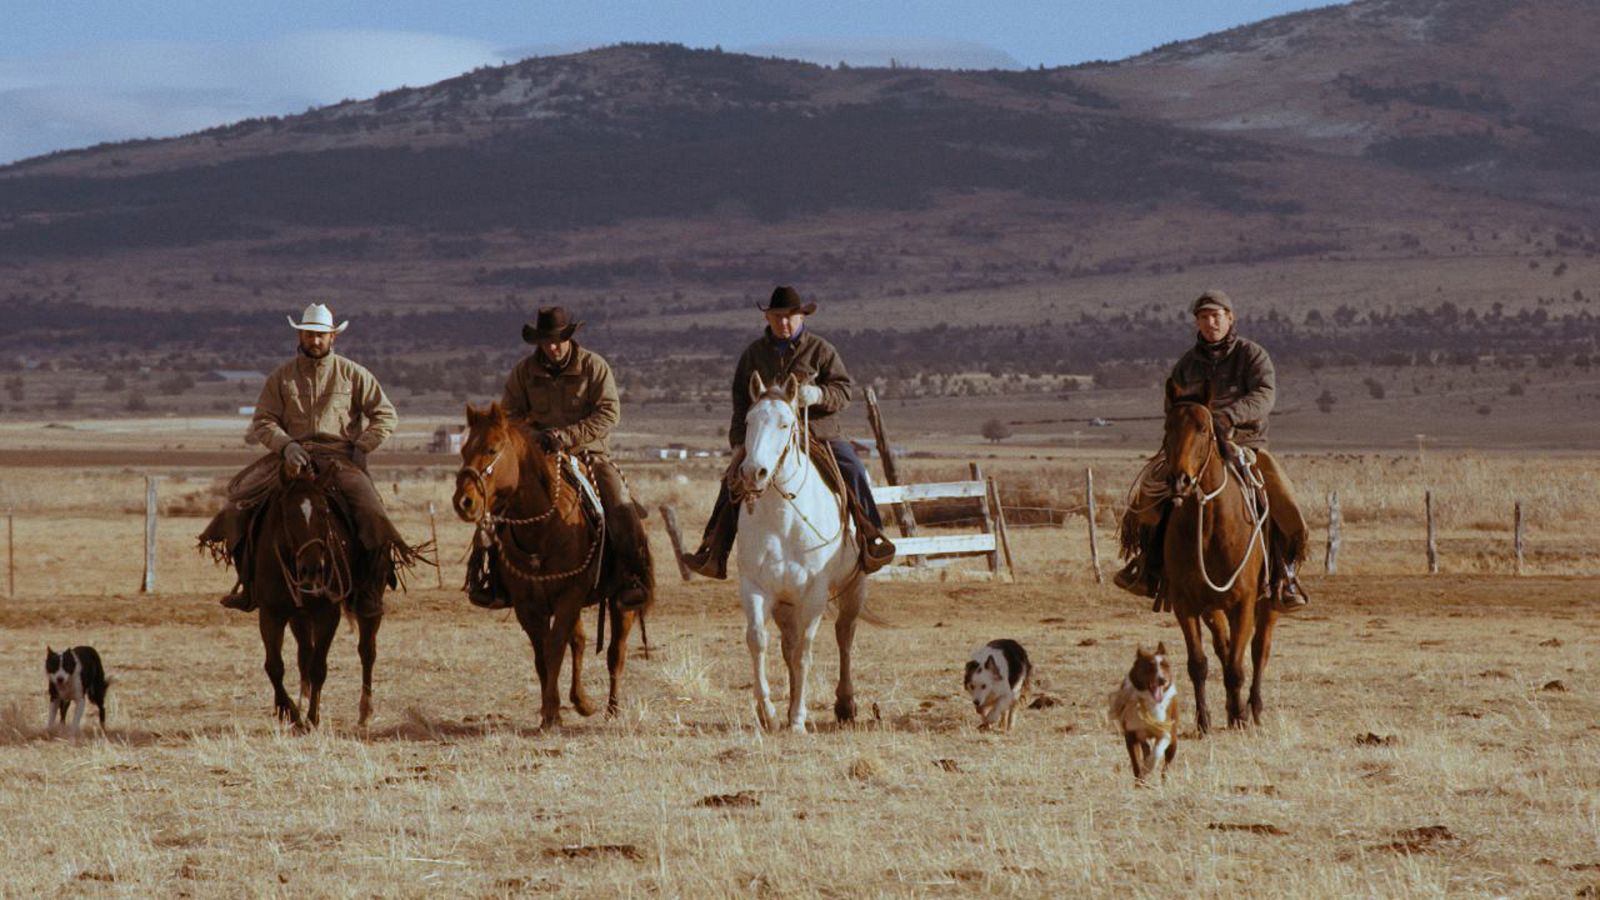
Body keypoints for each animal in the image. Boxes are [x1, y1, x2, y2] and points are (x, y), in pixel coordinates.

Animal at [254, 458, 382, 723]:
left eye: (324, 512)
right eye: (288, 513)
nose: (312, 568)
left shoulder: (327, 613)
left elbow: (318, 667)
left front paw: (311, 718)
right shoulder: (271, 613)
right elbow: (274, 666)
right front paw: (289, 711)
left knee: (367, 651)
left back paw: (365, 711)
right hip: (299, 617)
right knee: (304, 652)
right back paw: (302, 700)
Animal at [451, 403, 643, 723]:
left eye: (492, 449)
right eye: (464, 450)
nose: (463, 502)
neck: (542, 528)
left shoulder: (568, 597)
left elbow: (554, 648)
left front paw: (552, 713)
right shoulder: (528, 605)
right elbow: (543, 654)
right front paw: (550, 711)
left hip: (620, 603)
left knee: (617, 651)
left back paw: (612, 708)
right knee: (578, 642)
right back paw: (582, 701)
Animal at [732, 371, 870, 730]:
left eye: (785, 424)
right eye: (749, 421)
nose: (753, 473)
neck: (783, 519)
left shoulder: (814, 593)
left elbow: (805, 652)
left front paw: (797, 719)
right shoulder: (755, 587)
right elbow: (758, 641)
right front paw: (768, 712)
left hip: (854, 587)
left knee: (844, 636)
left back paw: (845, 704)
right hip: (785, 603)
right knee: (787, 645)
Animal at [1107, 637, 1184, 778]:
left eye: (1166, 666)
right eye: (1150, 666)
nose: (1162, 680)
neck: (1148, 702)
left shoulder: (1164, 732)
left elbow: (1156, 753)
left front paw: (1149, 766)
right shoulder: (1131, 735)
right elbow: (1136, 763)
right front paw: (1141, 776)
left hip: (1174, 740)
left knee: (1166, 766)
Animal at [1158, 374, 1280, 733]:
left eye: (1203, 428)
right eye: (1168, 426)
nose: (1180, 480)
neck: (1209, 528)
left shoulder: (1244, 601)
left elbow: (1239, 665)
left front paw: (1240, 718)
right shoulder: (1185, 604)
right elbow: (1199, 663)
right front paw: (1204, 721)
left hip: (1268, 603)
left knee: (1259, 649)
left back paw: (1252, 708)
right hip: (1213, 607)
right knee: (1223, 647)